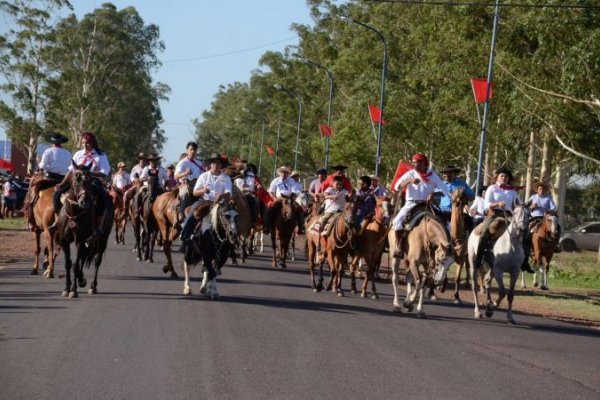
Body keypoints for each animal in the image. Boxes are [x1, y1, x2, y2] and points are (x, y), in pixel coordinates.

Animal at [55, 162, 115, 296]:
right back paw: (81, 280)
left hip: (103, 239)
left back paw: (93, 286)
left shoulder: (80, 241)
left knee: (97, 260)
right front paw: (67, 288)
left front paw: (73, 290)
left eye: (89, 180)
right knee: (83, 259)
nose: (84, 201)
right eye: (75, 178)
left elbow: (76, 264)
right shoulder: (64, 241)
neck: (73, 214)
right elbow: (68, 264)